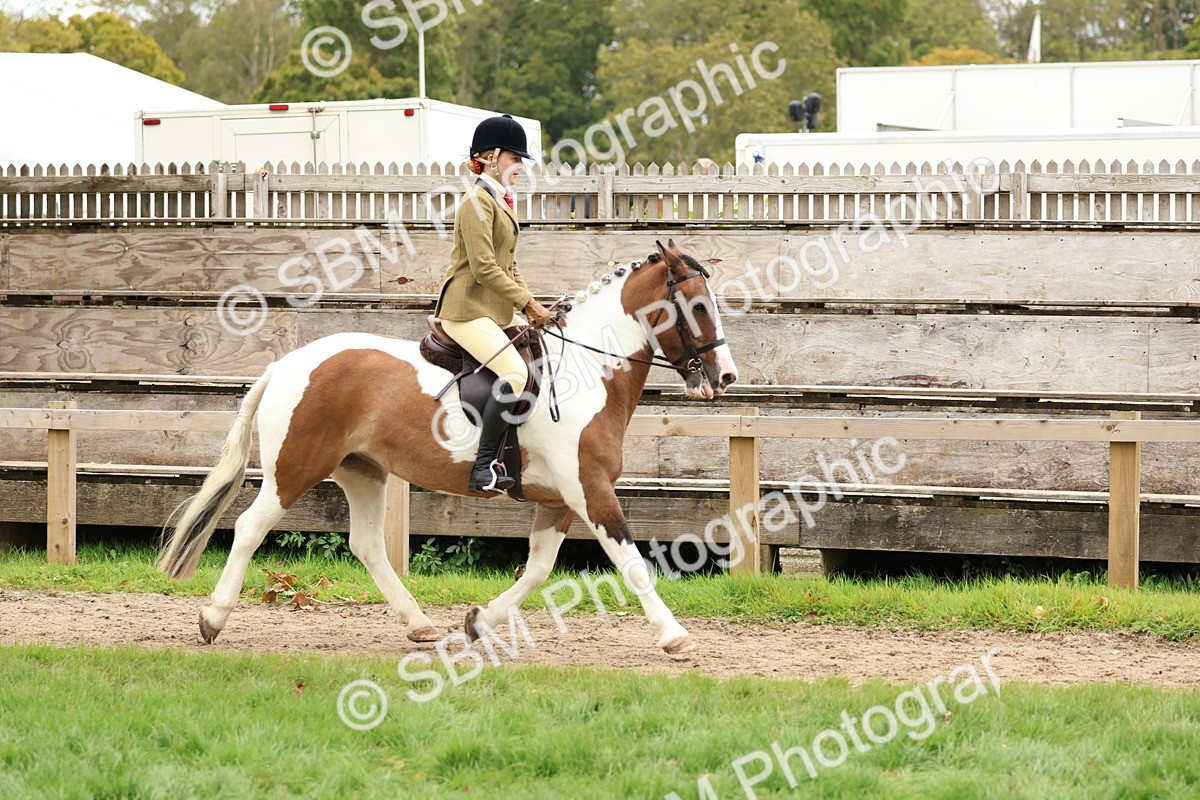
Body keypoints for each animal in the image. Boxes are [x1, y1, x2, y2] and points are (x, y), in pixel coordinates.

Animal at [157, 239, 738, 654]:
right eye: (696, 306)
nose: (726, 376)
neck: (588, 368)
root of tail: (286, 364)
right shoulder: (589, 489)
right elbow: (631, 561)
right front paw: (674, 636)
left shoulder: (558, 500)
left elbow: (538, 569)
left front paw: (479, 621)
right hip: (294, 470)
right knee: (250, 528)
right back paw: (212, 619)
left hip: (362, 470)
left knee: (366, 545)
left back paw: (419, 625)